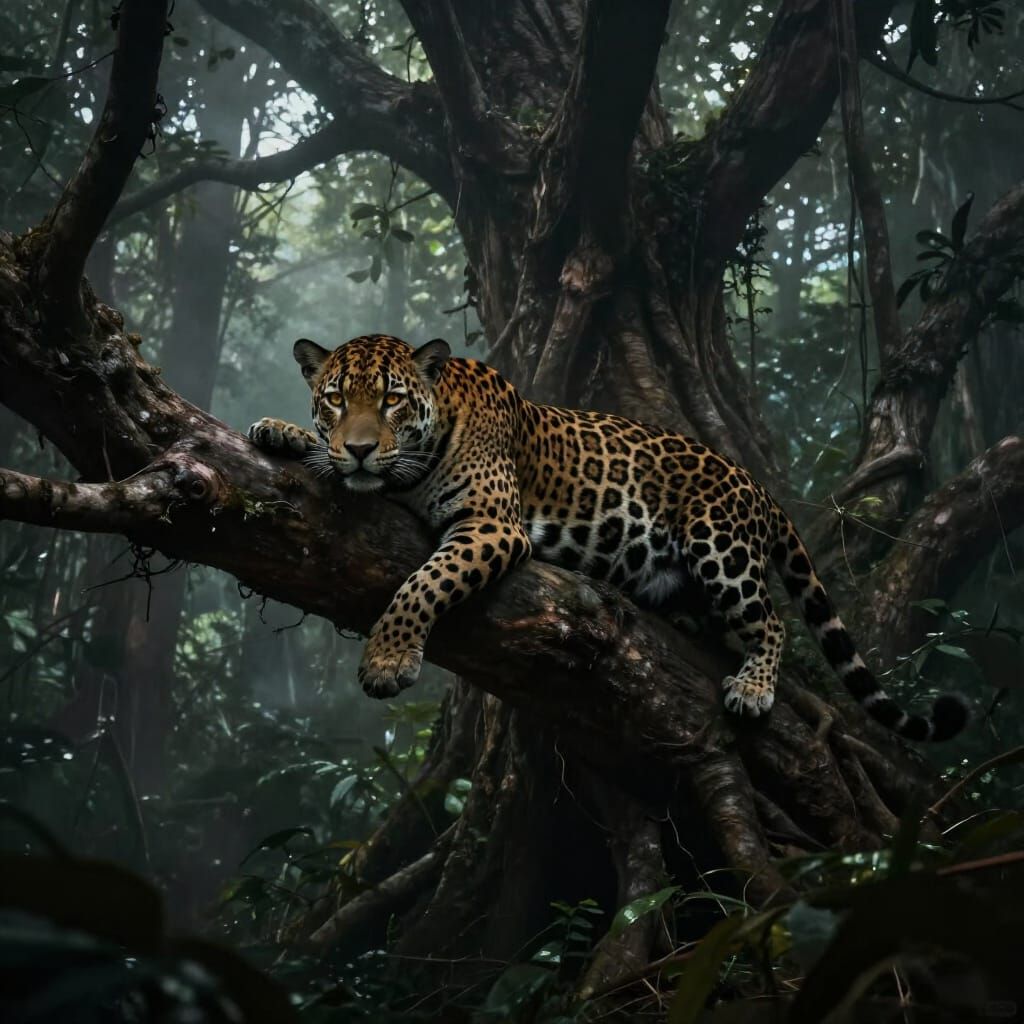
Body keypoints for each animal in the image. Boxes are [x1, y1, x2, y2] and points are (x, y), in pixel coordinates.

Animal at [249, 333, 967, 742]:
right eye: (335, 399)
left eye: (393, 400)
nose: (361, 448)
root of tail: (756, 485)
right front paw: (279, 430)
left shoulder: (492, 523)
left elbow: (423, 583)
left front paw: (388, 659)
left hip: (720, 543)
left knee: (770, 623)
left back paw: (754, 687)